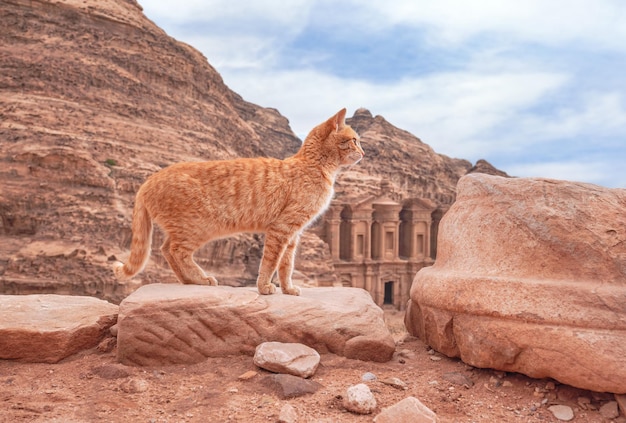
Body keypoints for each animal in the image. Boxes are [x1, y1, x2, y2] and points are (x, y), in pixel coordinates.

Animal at [112, 108, 360, 294]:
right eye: (354, 140)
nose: (364, 152)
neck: (315, 166)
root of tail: (149, 180)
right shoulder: (281, 229)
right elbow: (270, 262)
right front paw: (264, 286)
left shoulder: (293, 234)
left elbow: (286, 265)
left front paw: (288, 289)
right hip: (198, 228)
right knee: (176, 251)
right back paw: (201, 279)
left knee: (165, 250)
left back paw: (190, 281)